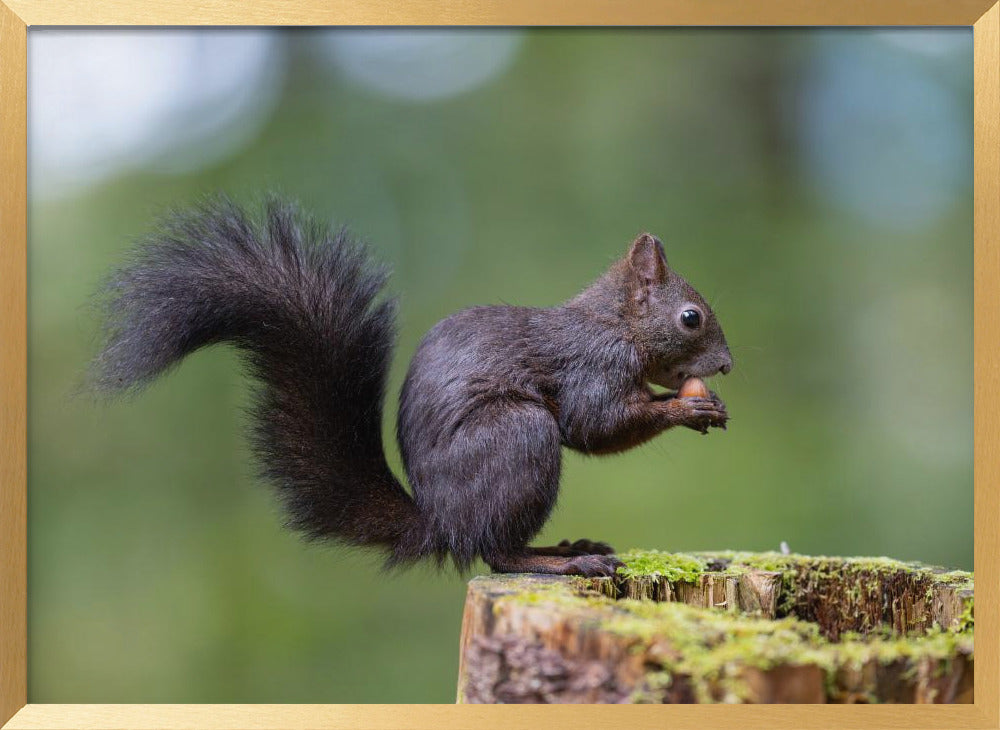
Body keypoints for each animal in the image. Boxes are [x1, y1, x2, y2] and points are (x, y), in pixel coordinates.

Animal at [92, 196, 732, 578]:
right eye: (691, 318)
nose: (726, 366)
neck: (614, 323)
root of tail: (441, 522)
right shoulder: (592, 366)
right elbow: (595, 426)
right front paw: (686, 409)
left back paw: (569, 549)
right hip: (517, 438)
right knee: (495, 553)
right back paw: (558, 562)